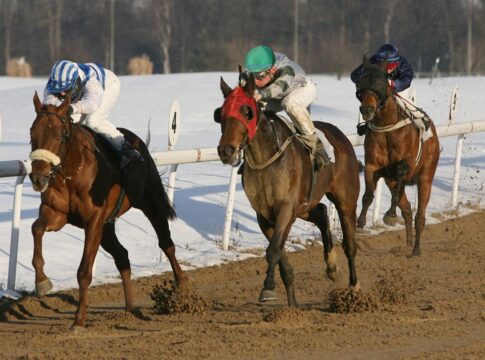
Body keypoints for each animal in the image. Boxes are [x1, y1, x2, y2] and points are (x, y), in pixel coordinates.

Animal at [29, 92, 186, 330]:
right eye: (32, 133)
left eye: (58, 135)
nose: (38, 178)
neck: (72, 171)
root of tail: (137, 142)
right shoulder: (56, 214)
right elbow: (36, 228)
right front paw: (42, 282)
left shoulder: (93, 220)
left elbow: (84, 270)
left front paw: (79, 320)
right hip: (107, 227)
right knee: (122, 255)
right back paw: (129, 310)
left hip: (149, 203)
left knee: (166, 244)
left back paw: (182, 288)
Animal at [215, 71, 360, 308]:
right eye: (221, 113)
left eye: (246, 111)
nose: (226, 150)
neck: (266, 159)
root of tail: (340, 135)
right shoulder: (265, 215)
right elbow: (279, 252)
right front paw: (291, 301)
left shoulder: (286, 208)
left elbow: (273, 249)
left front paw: (268, 288)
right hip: (305, 205)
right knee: (321, 212)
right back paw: (331, 267)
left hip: (345, 200)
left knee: (349, 243)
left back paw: (354, 287)